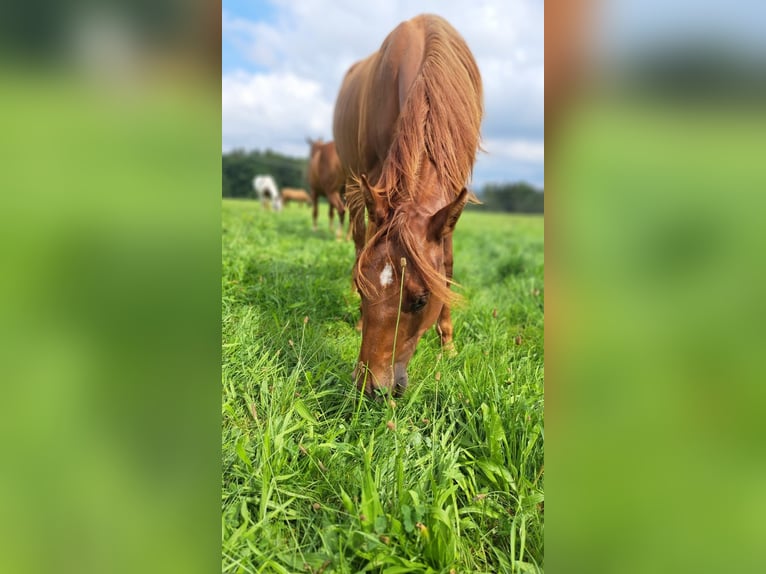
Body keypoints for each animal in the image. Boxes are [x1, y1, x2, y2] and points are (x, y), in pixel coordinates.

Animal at [333, 14, 483, 396]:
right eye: (361, 287)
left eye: (420, 300)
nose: (370, 387)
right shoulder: (375, 183)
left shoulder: (451, 198)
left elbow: (445, 265)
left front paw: (448, 345)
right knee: (358, 240)